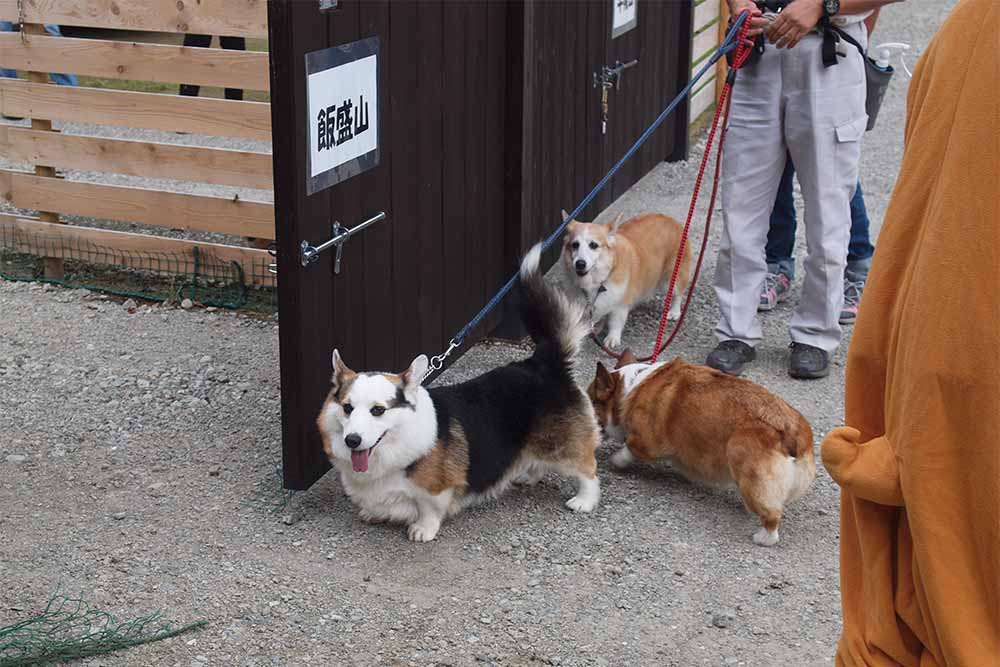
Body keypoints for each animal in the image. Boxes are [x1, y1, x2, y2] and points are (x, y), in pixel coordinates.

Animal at [318, 245, 600, 544]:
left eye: (378, 410)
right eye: (347, 408)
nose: (352, 440)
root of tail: (544, 362)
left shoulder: (436, 491)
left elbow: (429, 510)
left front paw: (422, 530)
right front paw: (374, 514)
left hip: (563, 445)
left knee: (588, 469)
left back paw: (584, 500)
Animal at [564, 213, 696, 350]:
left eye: (593, 245)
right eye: (575, 245)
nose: (580, 264)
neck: (599, 281)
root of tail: (670, 219)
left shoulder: (620, 305)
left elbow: (615, 323)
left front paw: (612, 338)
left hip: (670, 279)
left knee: (678, 294)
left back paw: (674, 312)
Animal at [584, 352, 812, 544]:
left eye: (591, 401)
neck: (631, 388)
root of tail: (794, 431)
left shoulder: (646, 442)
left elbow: (628, 450)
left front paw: (616, 461)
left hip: (746, 464)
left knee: (772, 516)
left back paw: (763, 537)